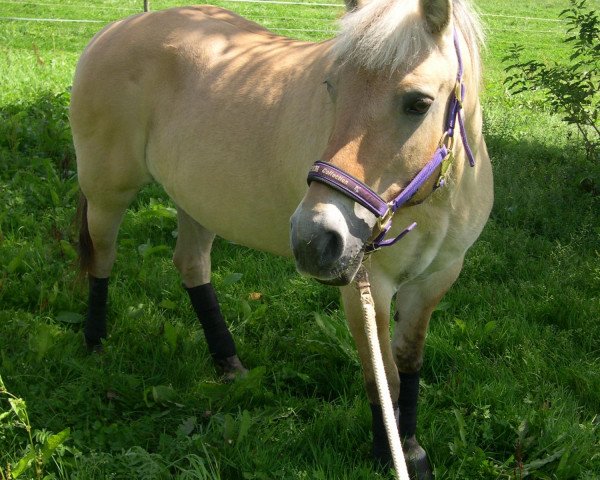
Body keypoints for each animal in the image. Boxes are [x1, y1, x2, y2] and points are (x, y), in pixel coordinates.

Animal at [70, 0, 492, 476]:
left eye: (418, 103)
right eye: (331, 87)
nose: (315, 239)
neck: (433, 202)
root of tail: (115, 28)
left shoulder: (436, 279)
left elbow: (409, 363)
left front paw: (412, 449)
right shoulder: (366, 288)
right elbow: (383, 375)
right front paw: (389, 454)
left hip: (196, 201)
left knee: (192, 266)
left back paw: (228, 363)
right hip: (107, 193)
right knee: (102, 260)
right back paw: (95, 341)